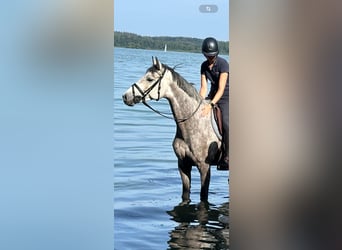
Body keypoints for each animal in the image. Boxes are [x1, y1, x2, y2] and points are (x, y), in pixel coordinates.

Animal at [122, 57, 222, 202]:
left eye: (150, 79)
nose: (125, 96)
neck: (192, 122)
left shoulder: (204, 167)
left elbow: (203, 196)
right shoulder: (183, 165)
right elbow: (185, 193)